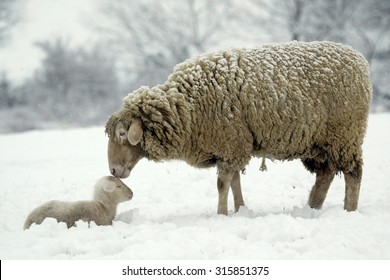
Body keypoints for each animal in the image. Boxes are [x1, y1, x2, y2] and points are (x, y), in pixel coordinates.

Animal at [105, 41, 374, 214]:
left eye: (122, 133)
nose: (113, 170)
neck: (187, 107)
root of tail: (360, 60)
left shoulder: (230, 141)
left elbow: (222, 183)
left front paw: (222, 213)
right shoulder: (234, 144)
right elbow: (234, 181)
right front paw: (239, 209)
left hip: (345, 134)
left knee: (353, 173)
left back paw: (349, 210)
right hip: (319, 142)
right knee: (326, 174)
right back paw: (313, 207)